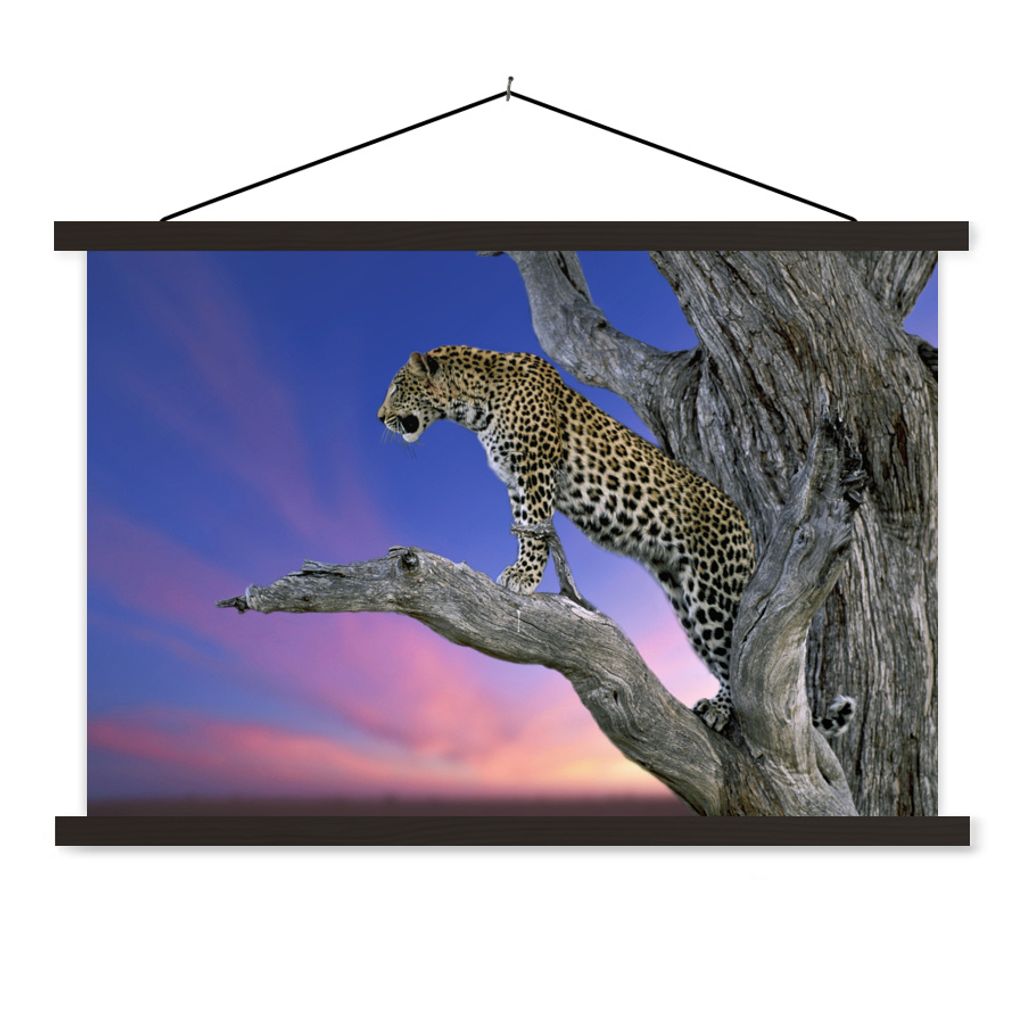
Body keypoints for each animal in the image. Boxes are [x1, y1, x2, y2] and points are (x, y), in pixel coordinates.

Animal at [378, 345, 855, 739]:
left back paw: (721, 709)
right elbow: (525, 526)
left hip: (713, 592)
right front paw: (521, 571)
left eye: (398, 387)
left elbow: (534, 527)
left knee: (735, 654)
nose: (380, 417)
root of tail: (743, 521)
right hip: (685, 598)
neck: (475, 401)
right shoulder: (516, 481)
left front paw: (524, 578)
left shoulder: (534, 471)